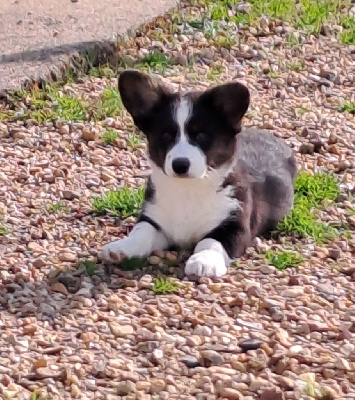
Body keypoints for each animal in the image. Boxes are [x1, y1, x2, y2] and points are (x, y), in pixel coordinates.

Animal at [100, 71, 298, 278]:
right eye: (166, 135)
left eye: (201, 136)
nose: (180, 165)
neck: (189, 188)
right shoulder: (154, 219)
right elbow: (141, 231)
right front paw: (121, 247)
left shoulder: (235, 225)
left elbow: (212, 242)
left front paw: (203, 261)